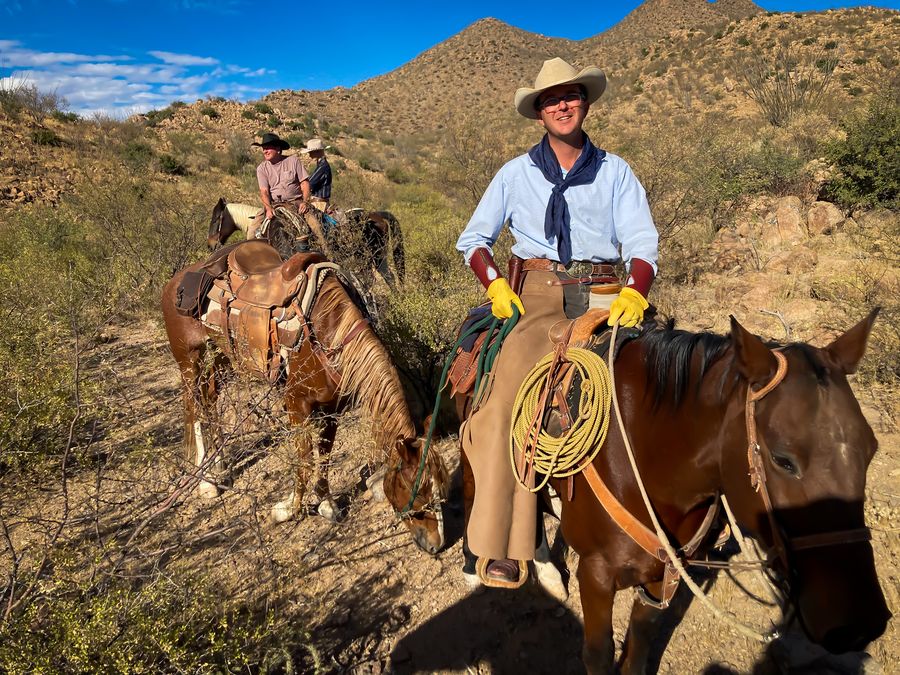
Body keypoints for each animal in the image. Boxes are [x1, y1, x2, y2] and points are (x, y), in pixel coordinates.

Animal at [162, 251, 450, 552]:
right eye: (417, 494)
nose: (436, 545)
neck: (328, 332)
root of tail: (177, 280)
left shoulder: (332, 409)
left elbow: (324, 455)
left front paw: (326, 503)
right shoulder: (296, 403)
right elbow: (304, 460)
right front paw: (288, 509)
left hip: (221, 359)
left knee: (210, 403)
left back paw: (218, 466)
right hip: (190, 362)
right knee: (196, 411)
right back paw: (206, 482)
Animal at [454, 312, 888, 672]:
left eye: (871, 449)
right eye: (783, 460)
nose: (858, 625)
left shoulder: (666, 571)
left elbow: (641, 636)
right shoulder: (595, 576)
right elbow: (598, 652)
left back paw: (545, 570)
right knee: (480, 494)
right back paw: (481, 568)